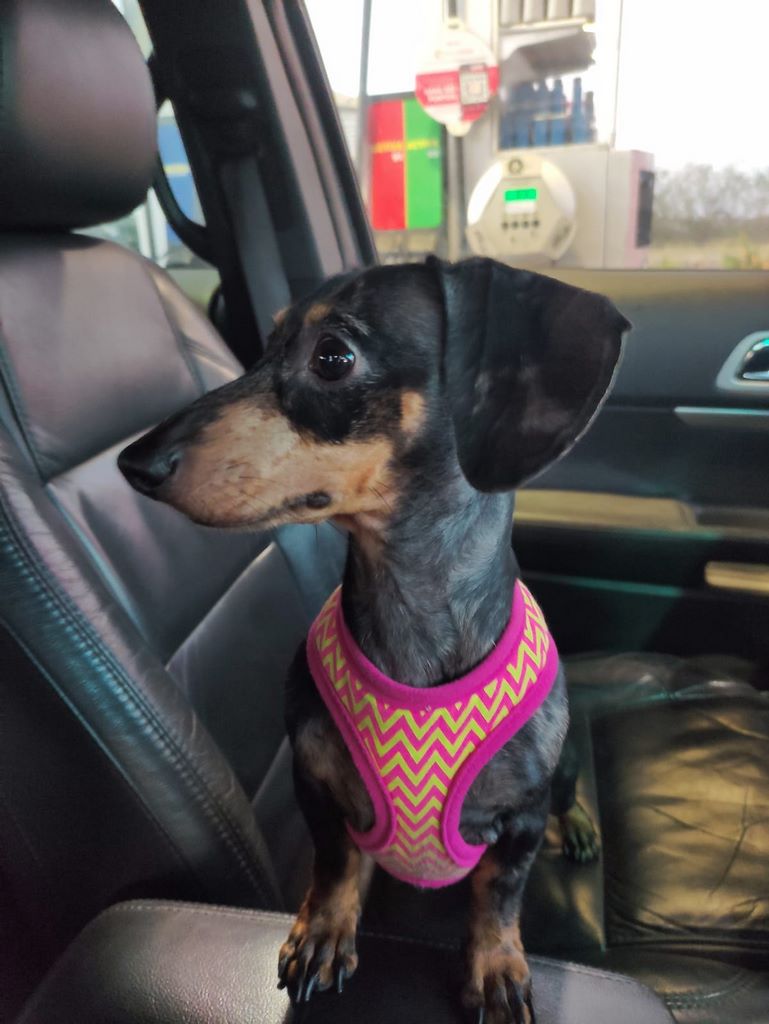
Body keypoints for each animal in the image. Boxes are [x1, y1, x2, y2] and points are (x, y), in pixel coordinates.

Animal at [118, 256, 628, 1024]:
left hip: (563, 767)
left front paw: (497, 965)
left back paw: (579, 828)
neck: (410, 610)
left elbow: (498, 894)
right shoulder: (316, 786)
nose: (133, 462)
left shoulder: (518, 822)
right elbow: (334, 864)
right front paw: (325, 931)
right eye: (264, 346)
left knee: (564, 799)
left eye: (333, 356)